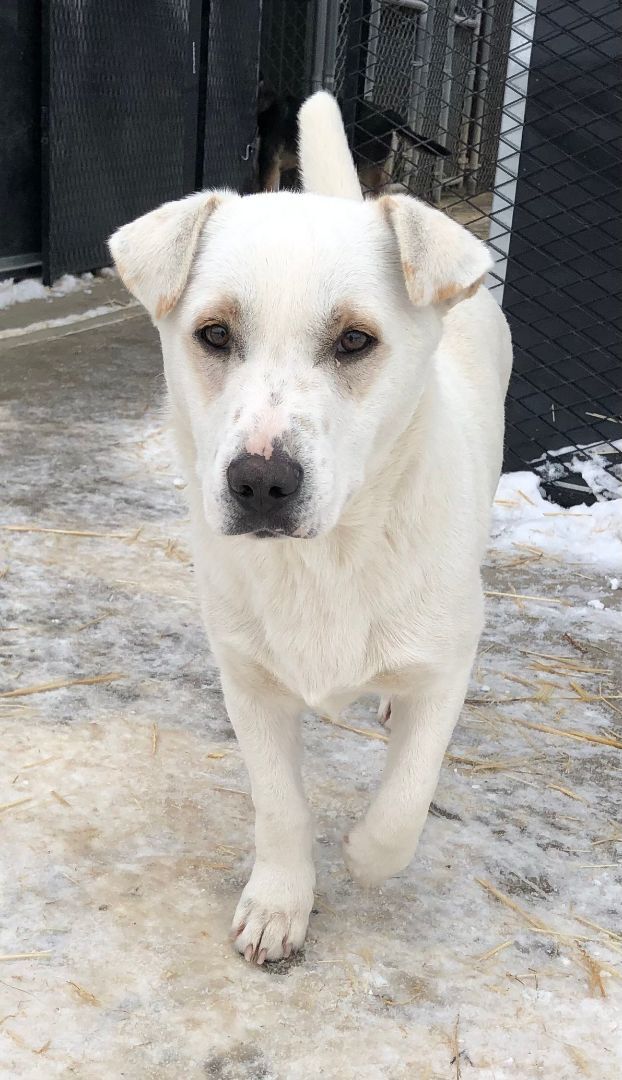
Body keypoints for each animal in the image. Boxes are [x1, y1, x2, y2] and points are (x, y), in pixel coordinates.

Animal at [109, 95, 511, 963]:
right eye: (214, 334)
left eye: (355, 340)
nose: (260, 481)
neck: (328, 559)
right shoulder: (250, 684)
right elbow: (279, 806)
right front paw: (279, 902)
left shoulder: (445, 665)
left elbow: (405, 800)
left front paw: (364, 853)